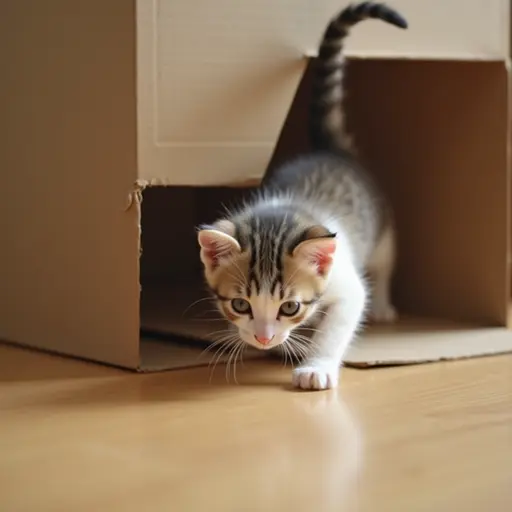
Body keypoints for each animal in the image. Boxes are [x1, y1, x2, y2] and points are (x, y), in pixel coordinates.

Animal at [196, 2, 408, 390]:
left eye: (290, 307)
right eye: (240, 305)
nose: (263, 338)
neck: (284, 214)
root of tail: (331, 149)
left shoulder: (347, 285)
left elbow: (338, 323)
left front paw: (316, 366)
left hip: (384, 228)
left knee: (385, 264)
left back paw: (385, 306)